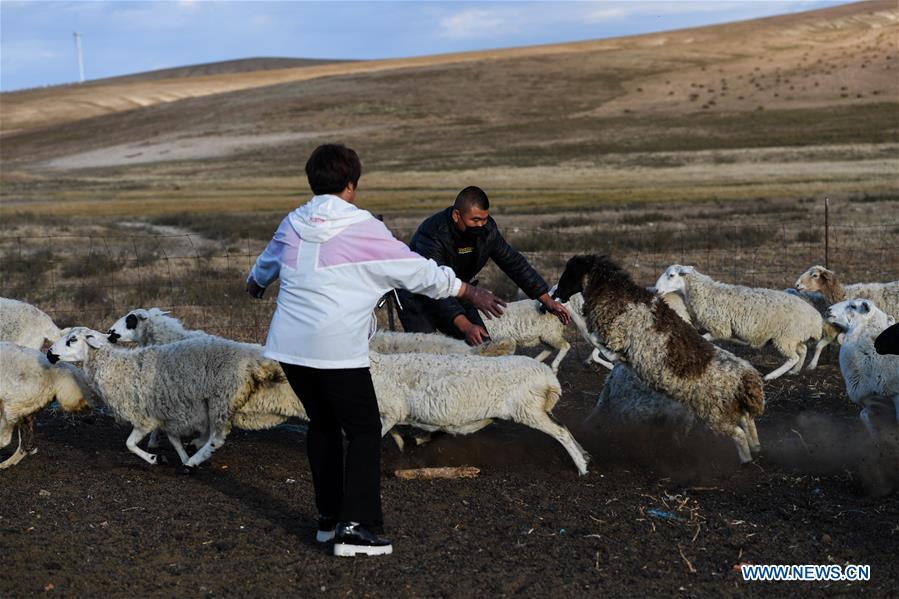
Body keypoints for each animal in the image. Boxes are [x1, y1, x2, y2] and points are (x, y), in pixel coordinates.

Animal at [370, 352, 592, 474]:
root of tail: (548, 377)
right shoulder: (391, 413)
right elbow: (392, 431)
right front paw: (404, 444)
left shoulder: (389, 411)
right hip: (537, 409)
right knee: (563, 426)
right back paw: (585, 455)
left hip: (528, 409)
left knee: (560, 432)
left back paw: (581, 467)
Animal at [556, 255, 768, 466]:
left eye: (569, 273)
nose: (556, 294)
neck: (616, 294)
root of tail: (747, 377)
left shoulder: (616, 336)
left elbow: (596, 342)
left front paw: (615, 358)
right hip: (730, 407)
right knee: (747, 421)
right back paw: (756, 446)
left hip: (715, 412)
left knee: (739, 432)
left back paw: (746, 458)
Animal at [652, 266, 824, 380]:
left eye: (671, 275)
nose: (656, 290)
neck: (706, 293)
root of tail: (816, 319)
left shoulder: (720, 328)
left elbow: (704, 338)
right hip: (793, 337)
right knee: (802, 351)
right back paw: (795, 371)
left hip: (785, 337)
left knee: (793, 357)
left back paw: (771, 376)